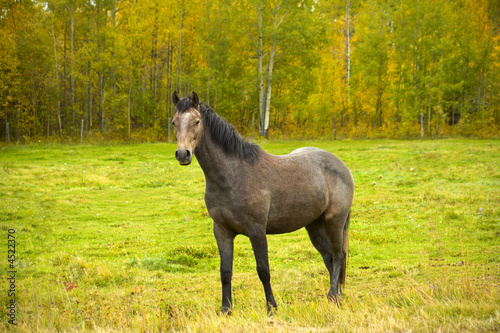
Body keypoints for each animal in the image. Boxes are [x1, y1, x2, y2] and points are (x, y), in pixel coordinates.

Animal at [172, 91, 356, 314]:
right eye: (174, 122)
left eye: (196, 121)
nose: (183, 154)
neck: (233, 174)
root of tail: (342, 166)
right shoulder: (222, 231)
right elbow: (225, 272)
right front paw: (226, 309)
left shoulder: (257, 230)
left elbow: (263, 270)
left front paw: (271, 308)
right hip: (314, 225)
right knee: (329, 257)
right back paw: (337, 297)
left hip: (334, 221)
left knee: (338, 256)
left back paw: (331, 297)